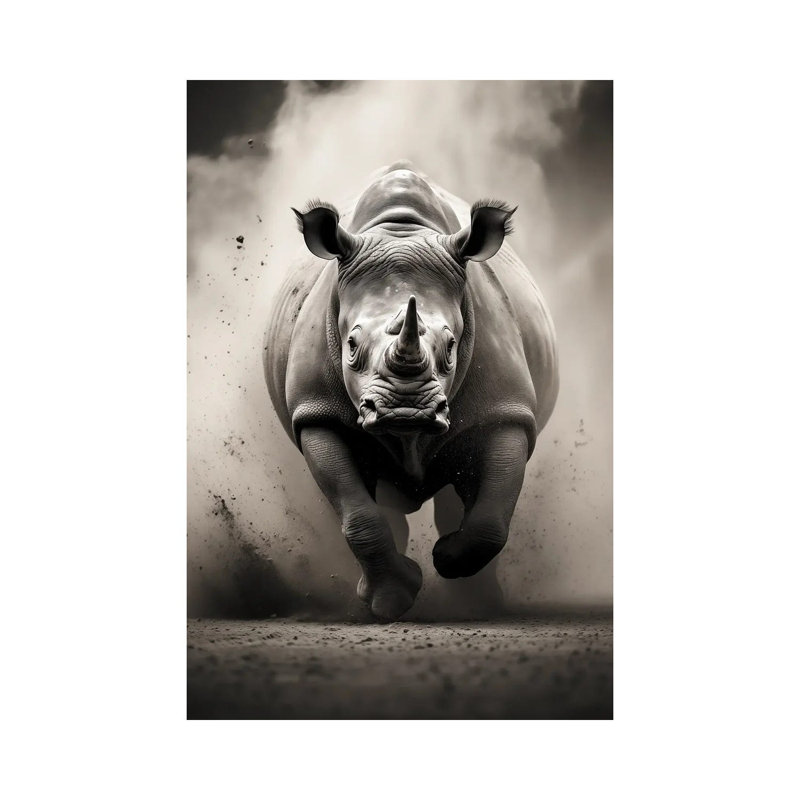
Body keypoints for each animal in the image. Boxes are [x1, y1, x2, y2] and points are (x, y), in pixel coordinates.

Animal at [264, 162, 558, 620]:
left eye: (452, 346)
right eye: (351, 345)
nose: (405, 412)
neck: (401, 231)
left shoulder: (504, 410)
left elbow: (492, 518)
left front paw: (446, 558)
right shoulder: (317, 414)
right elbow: (358, 516)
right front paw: (390, 604)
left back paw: (477, 603)